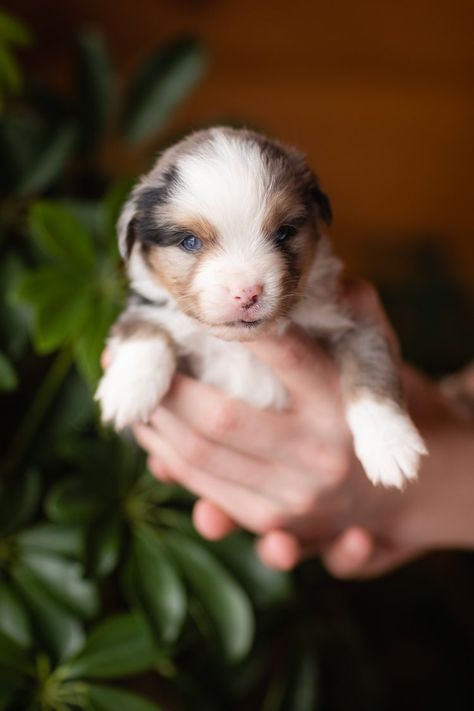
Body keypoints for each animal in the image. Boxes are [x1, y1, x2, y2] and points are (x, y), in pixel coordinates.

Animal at [95, 128, 426, 490]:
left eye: (284, 232)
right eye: (189, 242)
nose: (246, 293)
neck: (241, 346)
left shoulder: (352, 321)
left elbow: (370, 371)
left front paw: (390, 446)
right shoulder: (151, 305)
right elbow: (146, 325)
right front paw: (128, 388)